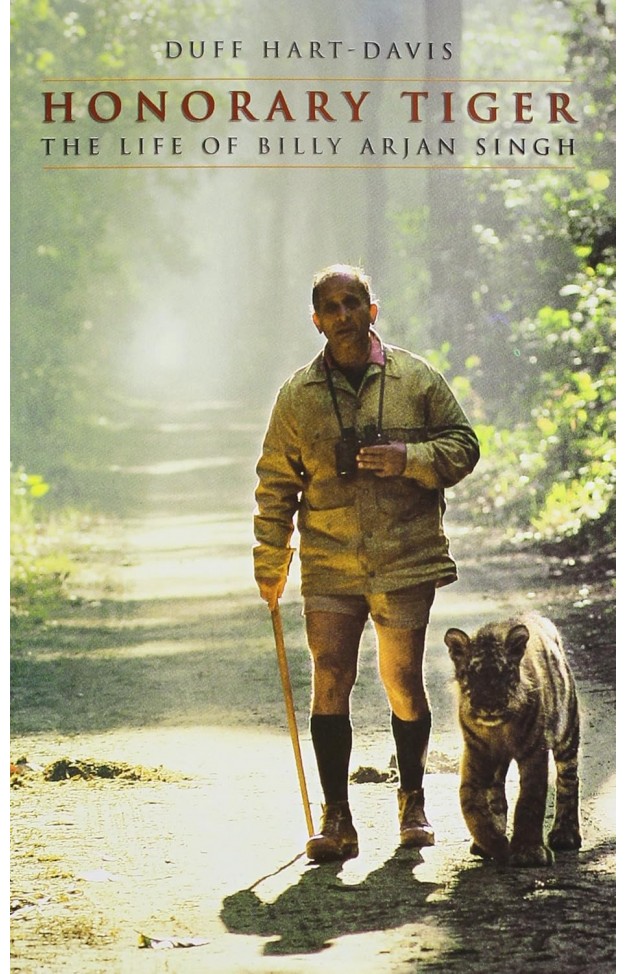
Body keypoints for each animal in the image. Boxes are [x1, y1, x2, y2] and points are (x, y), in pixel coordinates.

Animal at [444, 613, 582, 867]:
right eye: (473, 675)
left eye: (502, 674)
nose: (489, 706)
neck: (499, 730)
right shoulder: (476, 754)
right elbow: (472, 805)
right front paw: (494, 843)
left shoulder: (534, 752)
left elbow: (529, 801)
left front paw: (529, 852)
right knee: (495, 792)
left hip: (567, 731)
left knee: (568, 780)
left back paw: (565, 834)